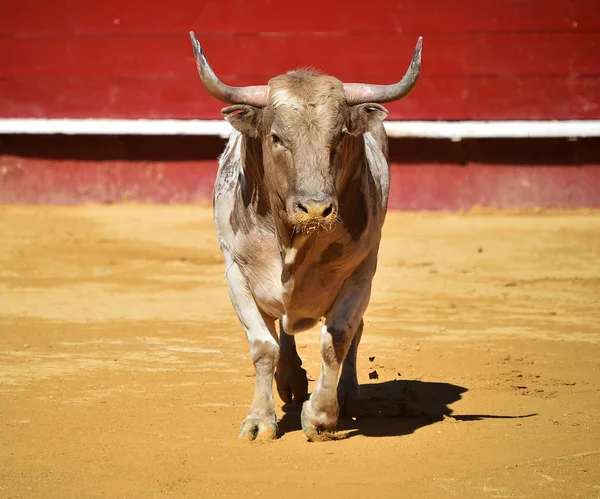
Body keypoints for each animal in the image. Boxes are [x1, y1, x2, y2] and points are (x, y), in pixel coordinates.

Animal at [189, 32, 422, 442]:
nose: (314, 209)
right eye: (276, 137)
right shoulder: (236, 273)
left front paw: (322, 415)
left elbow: (338, 338)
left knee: (352, 332)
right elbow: (263, 347)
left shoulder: (362, 270)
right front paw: (259, 419)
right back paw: (291, 380)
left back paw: (346, 393)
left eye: (341, 135)